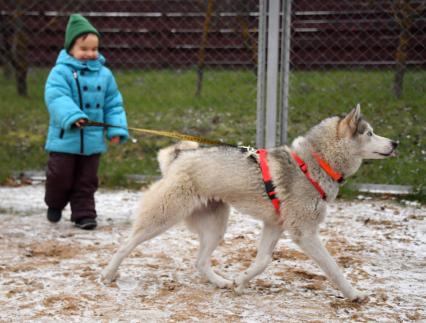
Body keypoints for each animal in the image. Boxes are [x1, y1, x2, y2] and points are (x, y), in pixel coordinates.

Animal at [101, 105, 398, 302]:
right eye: (370, 133)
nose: (395, 142)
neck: (314, 163)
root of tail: (178, 157)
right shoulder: (304, 233)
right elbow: (334, 268)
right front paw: (355, 294)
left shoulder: (274, 226)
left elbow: (263, 261)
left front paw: (240, 282)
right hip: (163, 218)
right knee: (126, 244)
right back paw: (108, 274)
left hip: (216, 227)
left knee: (200, 262)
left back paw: (221, 282)